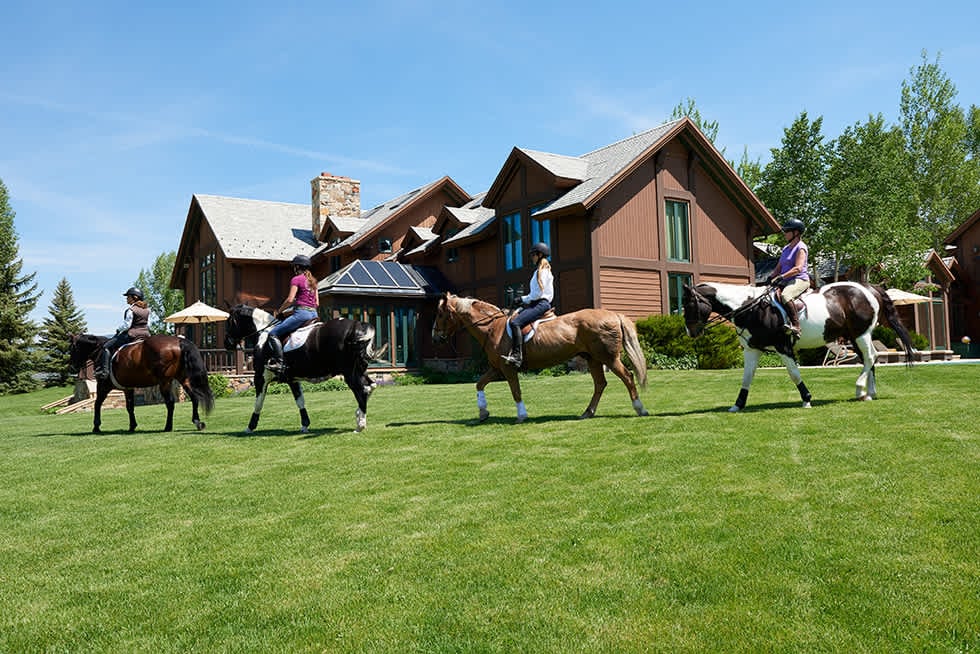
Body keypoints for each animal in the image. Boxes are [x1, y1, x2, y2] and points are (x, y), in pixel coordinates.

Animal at [68, 334, 214, 436]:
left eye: (72, 349)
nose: (72, 367)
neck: (99, 351)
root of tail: (179, 341)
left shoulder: (103, 386)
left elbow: (97, 404)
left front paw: (96, 426)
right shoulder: (128, 388)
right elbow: (129, 407)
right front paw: (132, 426)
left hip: (164, 382)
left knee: (170, 403)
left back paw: (168, 427)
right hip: (183, 379)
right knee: (194, 398)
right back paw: (197, 422)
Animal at [226, 306, 386, 436]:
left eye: (229, 321)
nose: (227, 344)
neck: (264, 335)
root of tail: (356, 325)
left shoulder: (260, 377)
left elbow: (258, 403)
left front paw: (250, 427)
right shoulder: (292, 379)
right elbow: (300, 401)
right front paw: (305, 425)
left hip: (349, 373)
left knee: (362, 390)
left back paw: (360, 425)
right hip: (359, 370)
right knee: (371, 386)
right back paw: (358, 415)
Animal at [430, 294, 652, 426]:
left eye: (440, 314)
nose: (435, 337)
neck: (493, 327)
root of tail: (614, 314)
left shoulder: (508, 369)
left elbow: (516, 391)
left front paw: (521, 415)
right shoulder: (497, 368)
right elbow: (479, 384)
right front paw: (483, 412)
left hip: (608, 358)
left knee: (627, 377)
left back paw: (640, 408)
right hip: (593, 359)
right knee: (600, 384)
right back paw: (587, 413)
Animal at [684, 284, 916, 416]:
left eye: (690, 305)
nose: (690, 332)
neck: (751, 307)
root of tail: (868, 289)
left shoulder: (783, 347)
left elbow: (794, 374)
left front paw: (807, 399)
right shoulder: (751, 350)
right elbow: (746, 378)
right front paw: (737, 405)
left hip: (861, 334)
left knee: (870, 357)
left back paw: (860, 389)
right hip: (854, 336)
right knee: (869, 359)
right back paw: (869, 393)